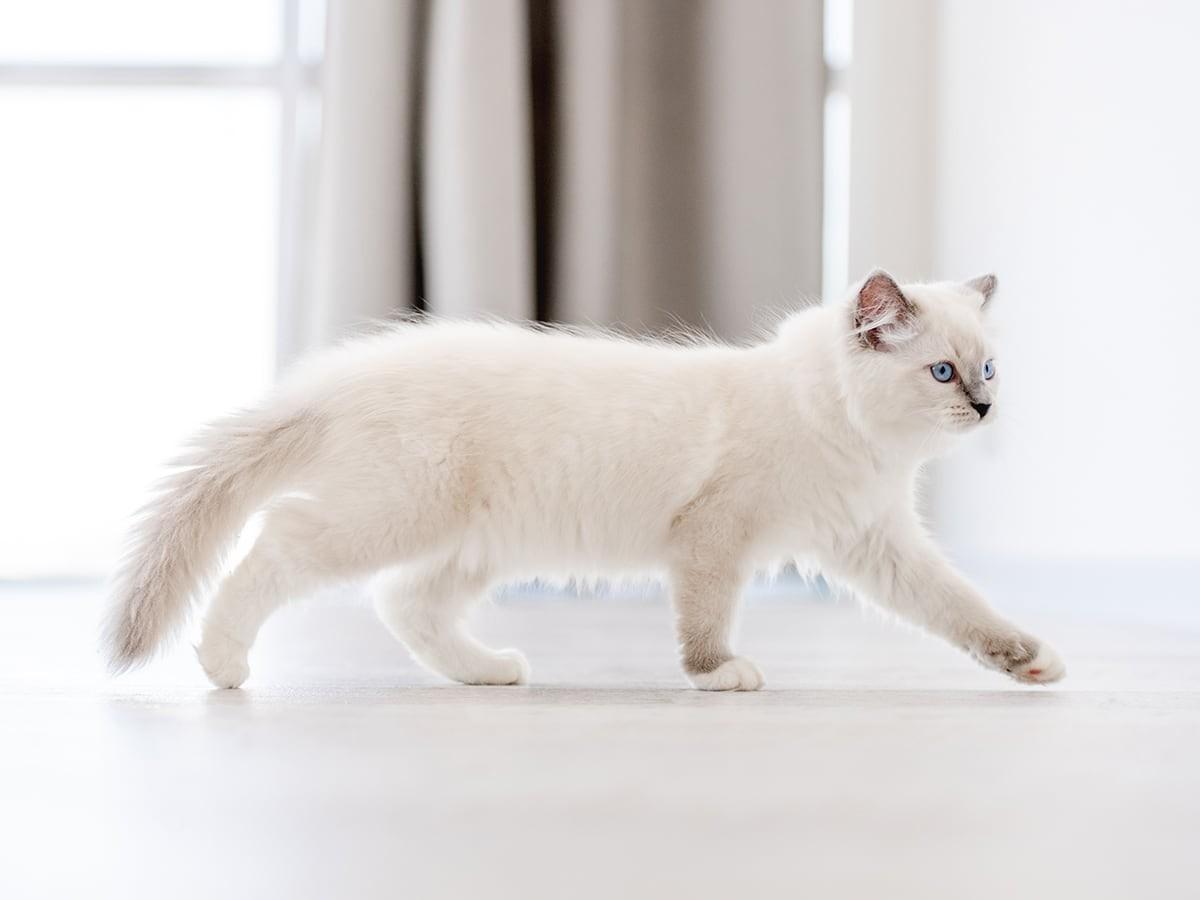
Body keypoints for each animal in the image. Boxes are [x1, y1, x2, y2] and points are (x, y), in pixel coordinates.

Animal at [105, 274, 1070, 691]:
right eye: (942, 373)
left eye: (988, 368)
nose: (985, 408)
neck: (852, 436)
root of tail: (336, 379)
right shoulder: (714, 536)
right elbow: (705, 621)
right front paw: (718, 675)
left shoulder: (877, 542)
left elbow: (961, 608)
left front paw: (1029, 661)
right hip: (388, 516)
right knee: (274, 547)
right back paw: (224, 666)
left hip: (469, 544)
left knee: (404, 605)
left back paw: (489, 673)